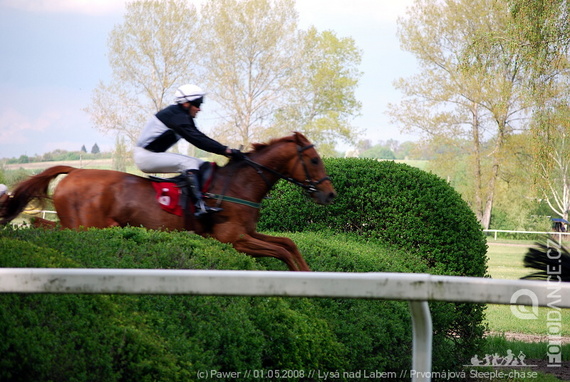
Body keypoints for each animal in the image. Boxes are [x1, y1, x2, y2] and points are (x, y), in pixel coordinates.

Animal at [1, 134, 332, 272]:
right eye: (315, 160)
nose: (330, 194)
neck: (240, 184)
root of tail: (75, 170)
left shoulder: (248, 233)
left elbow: (288, 243)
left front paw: (310, 274)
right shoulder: (234, 240)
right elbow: (282, 250)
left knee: (40, 222)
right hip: (85, 226)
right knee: (44, 226)